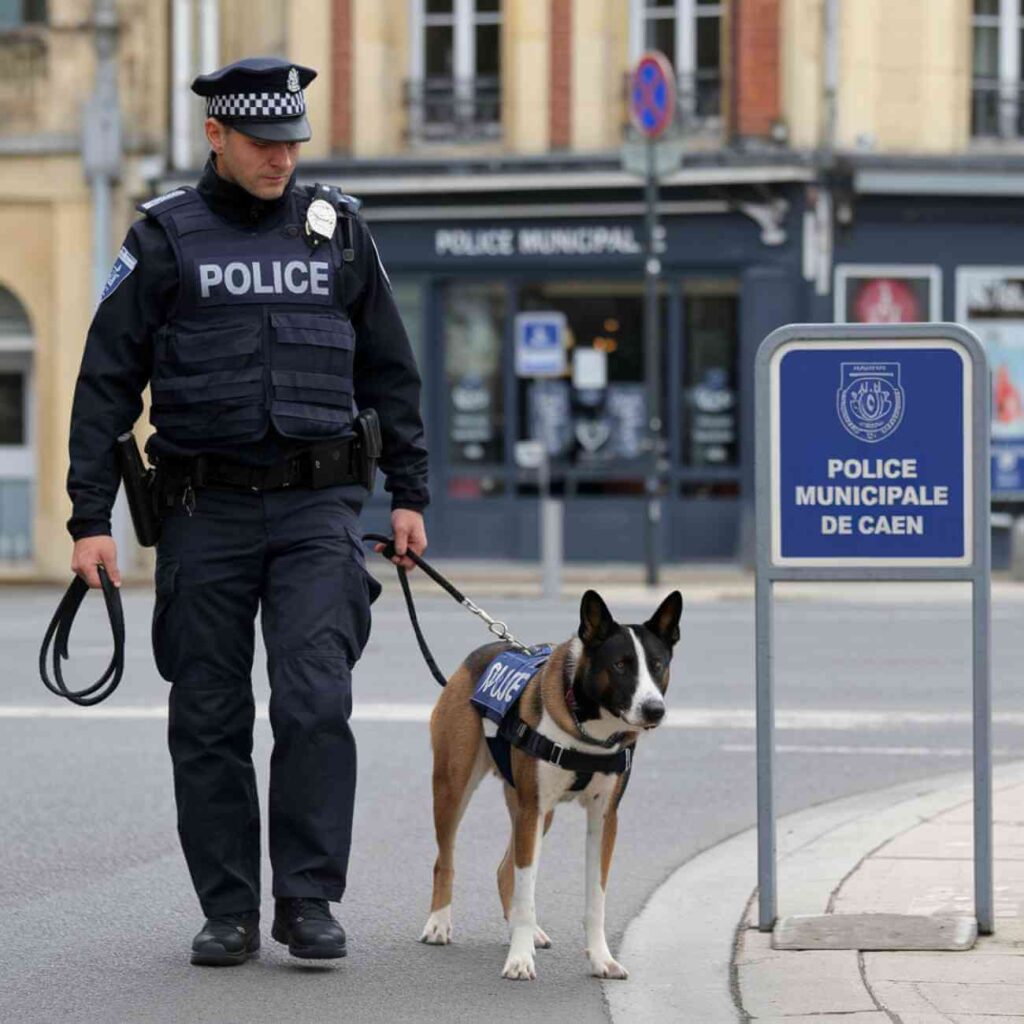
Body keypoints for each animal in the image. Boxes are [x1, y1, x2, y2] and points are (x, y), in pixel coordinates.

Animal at [419, 589, 684, 978]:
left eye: (657, 665)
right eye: (621, 665)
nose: (654, 710)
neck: (589, 729)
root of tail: (480, 653)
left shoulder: (604, 818)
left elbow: (596, 898)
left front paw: (601, 958)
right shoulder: (533, 807)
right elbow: (527, 892)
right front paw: (519, 959)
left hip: (537, 814)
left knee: (505, 870)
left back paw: (523, 931)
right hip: (455, 788)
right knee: (445, 860)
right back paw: (439, 923)